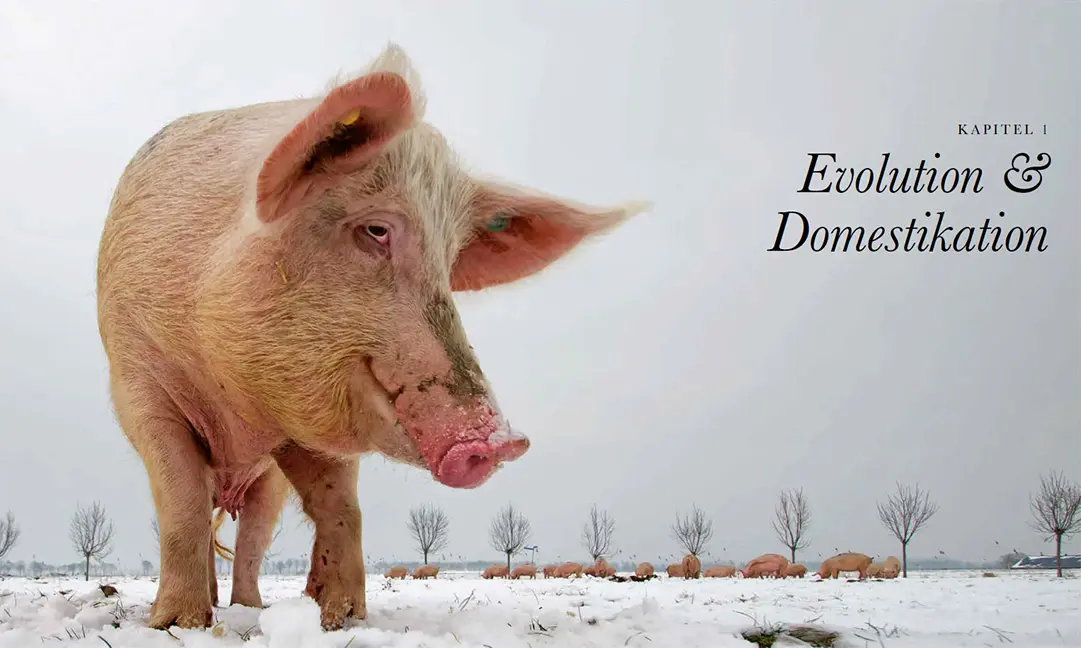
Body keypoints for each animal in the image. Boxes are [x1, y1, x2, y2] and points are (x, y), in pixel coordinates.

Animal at [95, 42, 645, 632]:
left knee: (255, 539)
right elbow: (180, 504)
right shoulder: (136, 381)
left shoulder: (312, 426)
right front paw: (175, 624)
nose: (503, 441)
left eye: (450, 258)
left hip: (266, 483)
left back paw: (255, 606)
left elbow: (341, 509)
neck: (236, 404)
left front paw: (345, 620)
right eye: (376, 230)